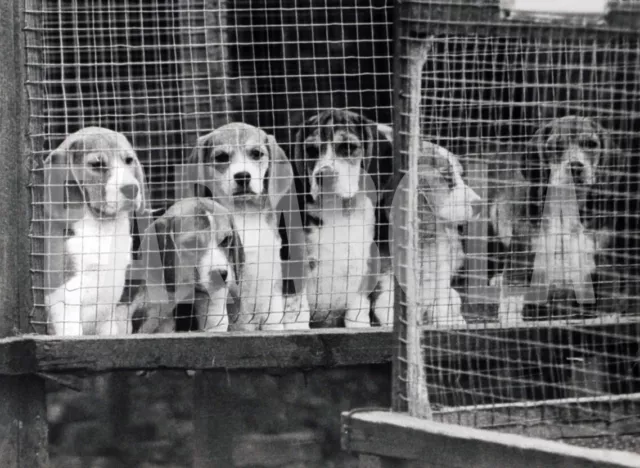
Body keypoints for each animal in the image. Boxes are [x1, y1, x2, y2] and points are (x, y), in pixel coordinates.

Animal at [43, 126, 148, 334]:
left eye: (129, 160)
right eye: (97, 164)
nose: (132, 189)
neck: (103, 227)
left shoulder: (110, 309)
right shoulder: (63, 299)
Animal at [190, 122, 310, 330]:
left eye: (256, 154)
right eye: (222, 157)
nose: (243, 176)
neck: (245, 214)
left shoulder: (270, 282)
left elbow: (273, 320)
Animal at [294, 109, 396, 330]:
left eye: (348, 147)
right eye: (311, 150)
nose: (323, 175)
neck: (337, 211)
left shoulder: (362, 270)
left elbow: (356, 314)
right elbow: (298, 312)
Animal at [488, 115, 624, 318]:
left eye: (591, 144)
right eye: (557, 147)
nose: (575, 166)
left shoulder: (603, 260)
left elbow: (609, 292)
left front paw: (610, 316)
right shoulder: (521, 257)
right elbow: (514, 287)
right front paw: (511, 315)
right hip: (499, 212)